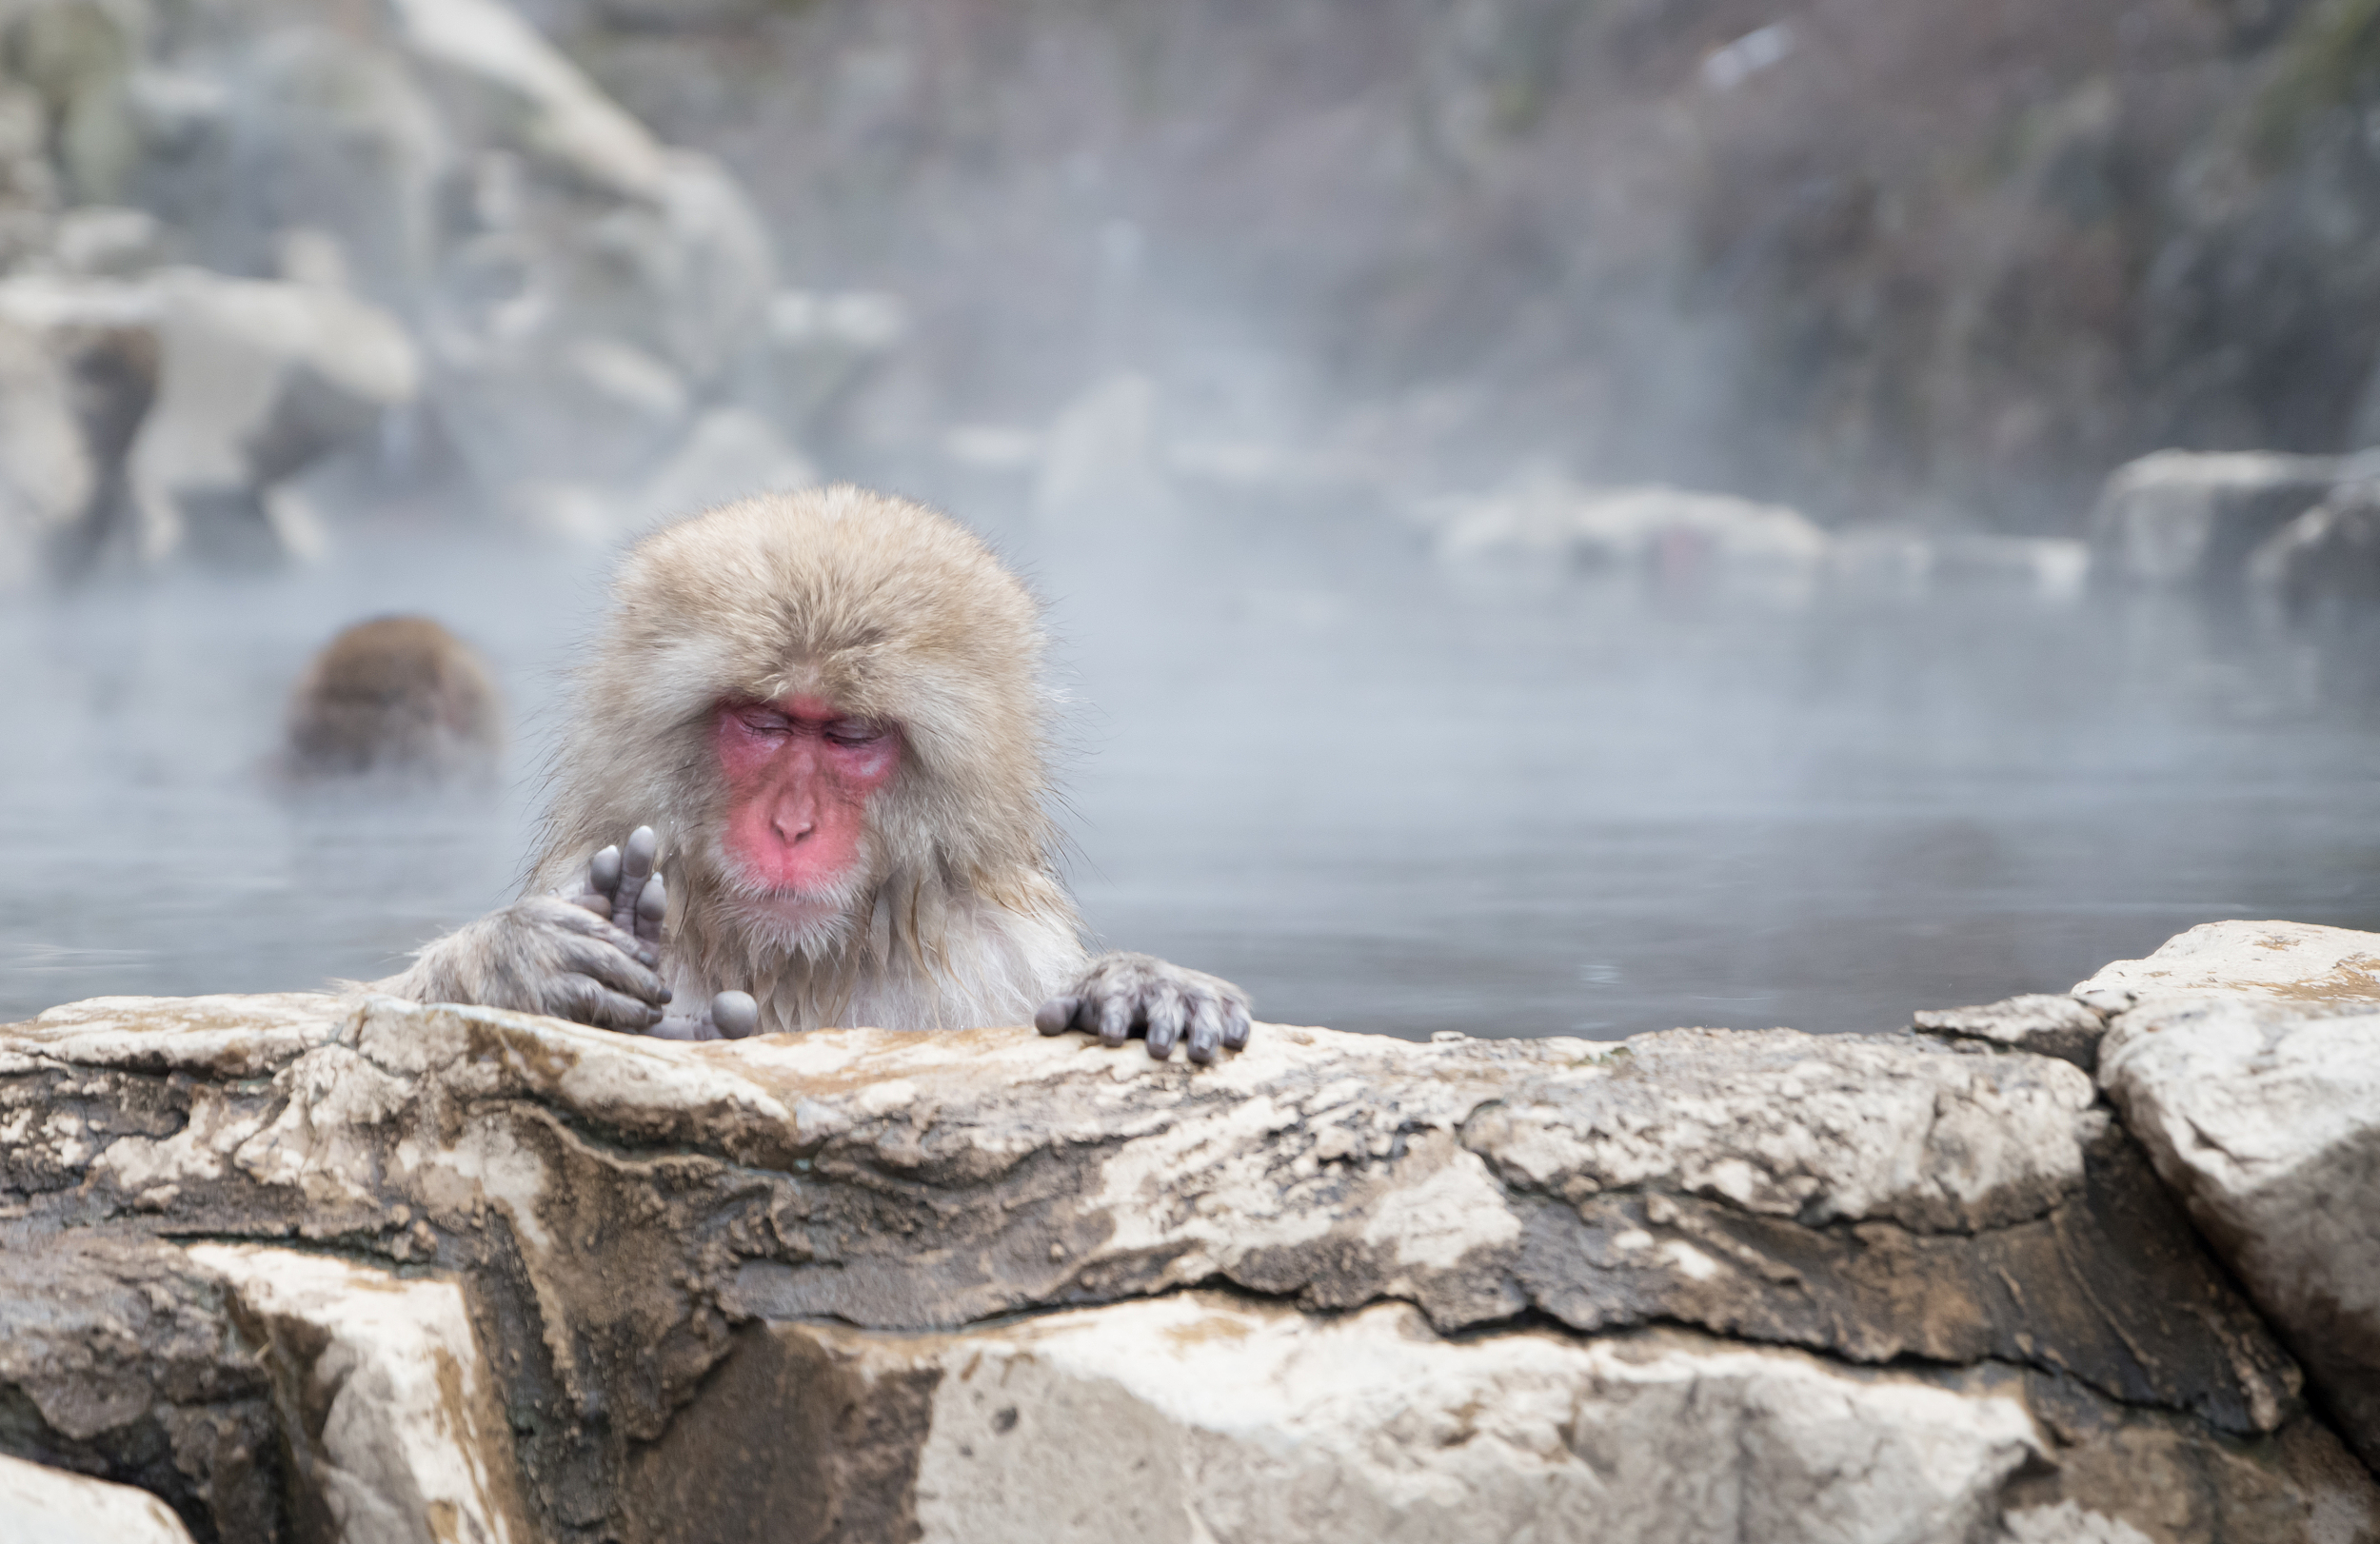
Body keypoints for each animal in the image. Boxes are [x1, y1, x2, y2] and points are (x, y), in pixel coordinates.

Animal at [372, 485, 1252, 1062]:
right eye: (764, 722)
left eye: (849, 734)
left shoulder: (1004, 956)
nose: (792, 826)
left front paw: (1141, 986)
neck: (804, 971)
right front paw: (511, 964)